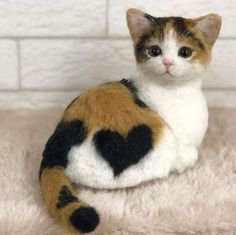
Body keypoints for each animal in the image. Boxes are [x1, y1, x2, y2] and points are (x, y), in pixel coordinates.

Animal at [38, 8, 221, 234]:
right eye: (154, 51)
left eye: (184, 52)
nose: (167, 62)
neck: (175, 92)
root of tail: (56, 147)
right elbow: (186, 157)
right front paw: (188, 160)